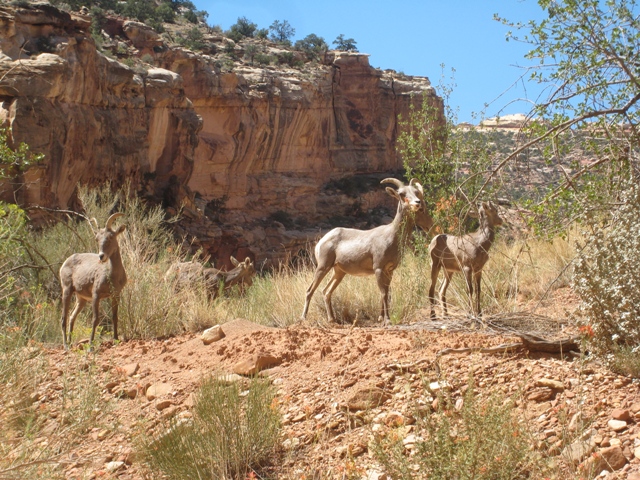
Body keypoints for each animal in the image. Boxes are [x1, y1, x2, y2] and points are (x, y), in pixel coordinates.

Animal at [60, 213, 128, 348]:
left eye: (111, 236)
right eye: (97, 239)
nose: (101, 256)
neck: (113, 276)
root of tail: (64, 263)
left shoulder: (115, 295)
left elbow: (115, 317)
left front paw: (116, 339)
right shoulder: (96, 295)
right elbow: (95, 319)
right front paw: (90, 347)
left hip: (81, 299)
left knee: (72, 317)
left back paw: (70, 342)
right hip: (67, 291)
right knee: (64, 318)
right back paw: (66, 345)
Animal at [302, 178, 432, 324]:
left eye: (416, 192)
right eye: (401, 194)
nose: (417, 203)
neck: (391, 236)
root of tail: (321, 242)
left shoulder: (389, 271)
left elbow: (387, 293)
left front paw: (381, 318)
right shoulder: (378, 269)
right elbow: (384, 293)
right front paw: (387, 320)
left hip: (339, 272)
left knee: (326, 291)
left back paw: (332, 320)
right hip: (323, 267)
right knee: (309, 291)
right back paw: (303, 318)